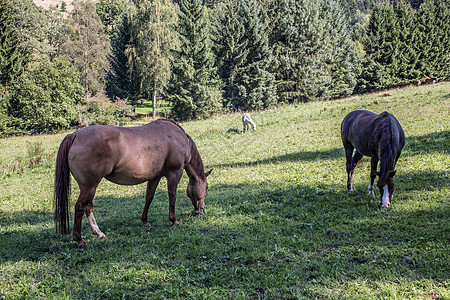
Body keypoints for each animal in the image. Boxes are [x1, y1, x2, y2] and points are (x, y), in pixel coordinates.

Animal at [53, 118, 212, 247]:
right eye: (207, 187)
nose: (201, 208)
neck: (179, 137)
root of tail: (75, 135)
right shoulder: (174, 173)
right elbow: (172, 197)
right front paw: (174, 220)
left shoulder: (155, 177)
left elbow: (149, 198)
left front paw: (145, 221)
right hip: (89, 186)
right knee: (80, 207)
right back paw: (79, 239)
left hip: (89, 187)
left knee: (88, 207)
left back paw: (98, 233)